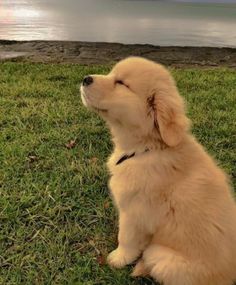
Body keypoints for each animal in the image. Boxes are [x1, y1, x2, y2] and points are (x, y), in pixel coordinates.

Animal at [79, 56, 236, 282]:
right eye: (111, 74)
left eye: (121, 83)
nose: (85, 79)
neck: (148, 148)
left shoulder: (133, 213)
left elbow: (125, 238)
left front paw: (117, 258)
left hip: (159, 255)